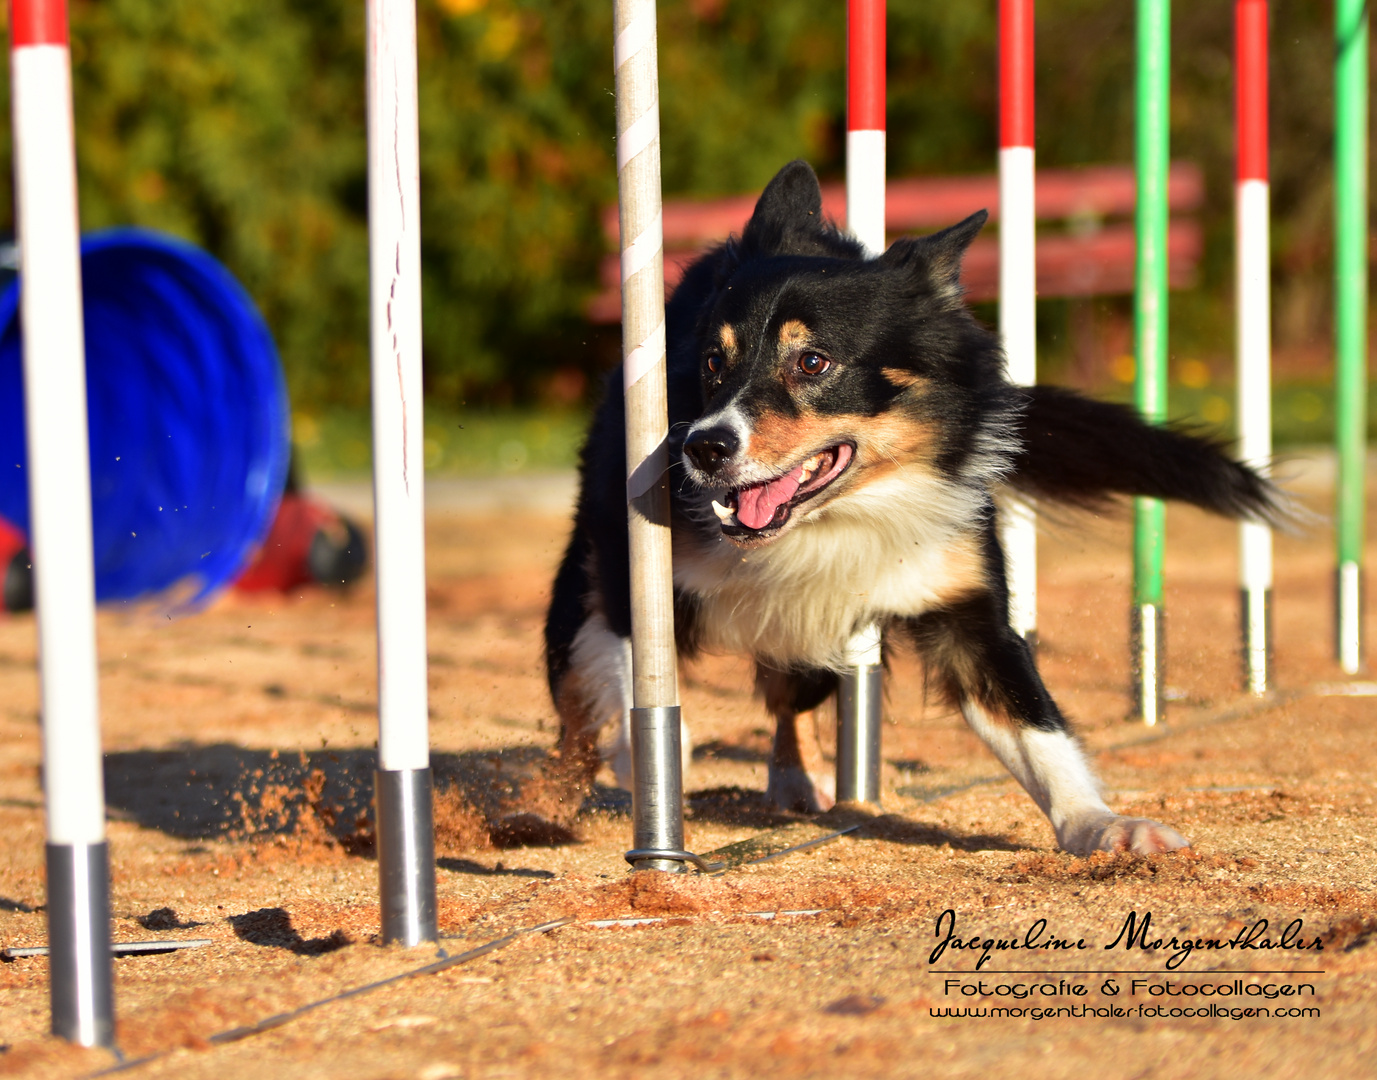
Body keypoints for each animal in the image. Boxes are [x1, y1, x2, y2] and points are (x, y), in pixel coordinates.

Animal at [542, 160, 1272, 854]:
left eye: (813, 362)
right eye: (713, 363)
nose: (704, 447)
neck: (839, 514)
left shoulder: (965, 604)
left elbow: (1038, 729)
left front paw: (1103, 826)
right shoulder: (632, 576)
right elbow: (635, 678)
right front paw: (644, 761)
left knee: (789, 700)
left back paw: (794, 782)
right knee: (571, 690)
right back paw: (552, 798)